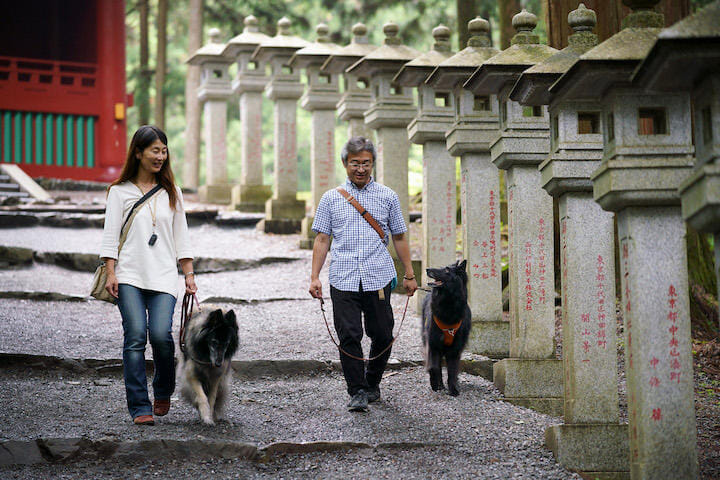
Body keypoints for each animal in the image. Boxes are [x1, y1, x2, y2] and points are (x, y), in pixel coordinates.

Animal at [422, 260, 472, 396]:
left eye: (447, 270)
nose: (427, 269)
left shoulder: (455, 350)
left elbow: (452, 371)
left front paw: (453, 389)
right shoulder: (433, 344)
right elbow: (434, 367)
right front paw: (435, 384)